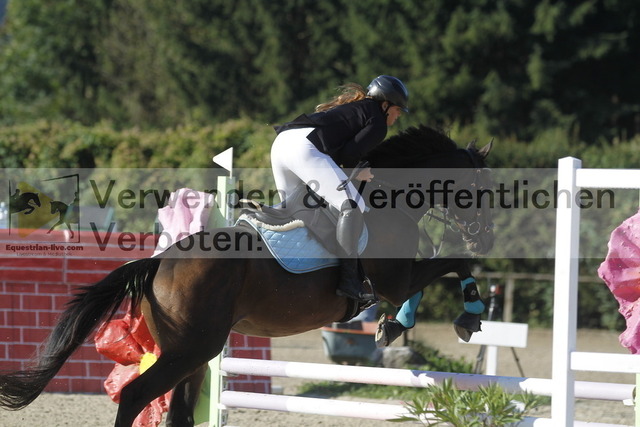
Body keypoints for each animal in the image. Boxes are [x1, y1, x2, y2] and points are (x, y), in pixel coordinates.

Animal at [0, 125, 494, 426]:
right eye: (479, 190)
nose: (486, 240)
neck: (391, 199)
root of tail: (159, 262)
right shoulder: (395, 279)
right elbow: (450, 263)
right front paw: (468, 316)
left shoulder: (402, 277)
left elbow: (437, 268)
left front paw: (392, 327)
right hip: (193, 349)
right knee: (137, 396)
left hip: (192, 352)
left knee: (177, 412)